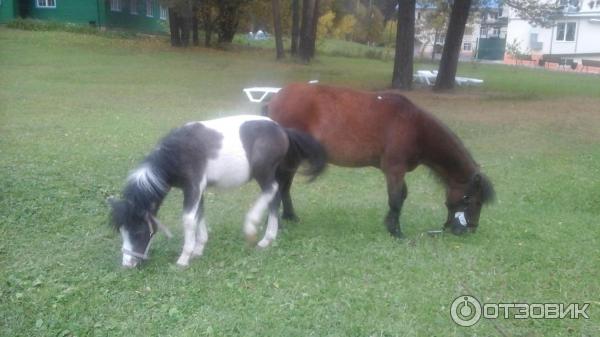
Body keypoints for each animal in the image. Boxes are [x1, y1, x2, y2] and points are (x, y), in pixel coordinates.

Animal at [109, 115, 326, 268]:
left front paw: (184, 258)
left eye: (138, 231)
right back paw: (267, 239)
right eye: (122, 231)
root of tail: (282, 129)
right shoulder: (198, 190)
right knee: (275, 198)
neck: (176, 153)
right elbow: (199, 215)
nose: (128, 264)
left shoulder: (193, 187)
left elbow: (189, 219)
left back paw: (253, 229)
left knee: (271, 191)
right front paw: (198, 249)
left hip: (263, 172)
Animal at [268, 82, 492, 236]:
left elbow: (401, 196)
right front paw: (396, 232)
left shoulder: (397, 171)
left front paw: (390, 225)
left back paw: (290, 216)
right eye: (472, 199)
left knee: (285, 186)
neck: (415, 127)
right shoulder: (394, 170)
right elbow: (396, 199)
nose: (470, 229)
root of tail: (276, 98)